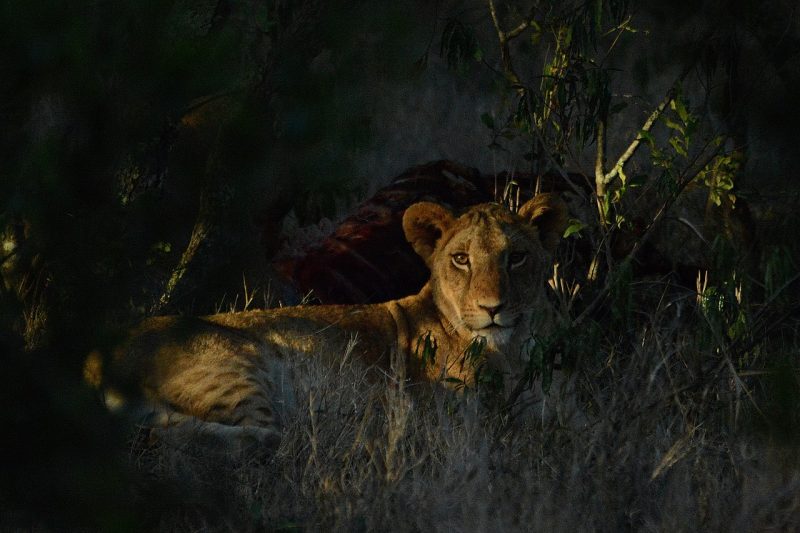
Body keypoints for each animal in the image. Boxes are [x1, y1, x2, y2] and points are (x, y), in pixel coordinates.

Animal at [88, 193, 568, 447]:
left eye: (517, 257)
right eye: (462, 259)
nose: (492, 308)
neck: (507, 354)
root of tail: (91, 358)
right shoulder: (452, 422)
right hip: (236, 367)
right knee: (252, 441)